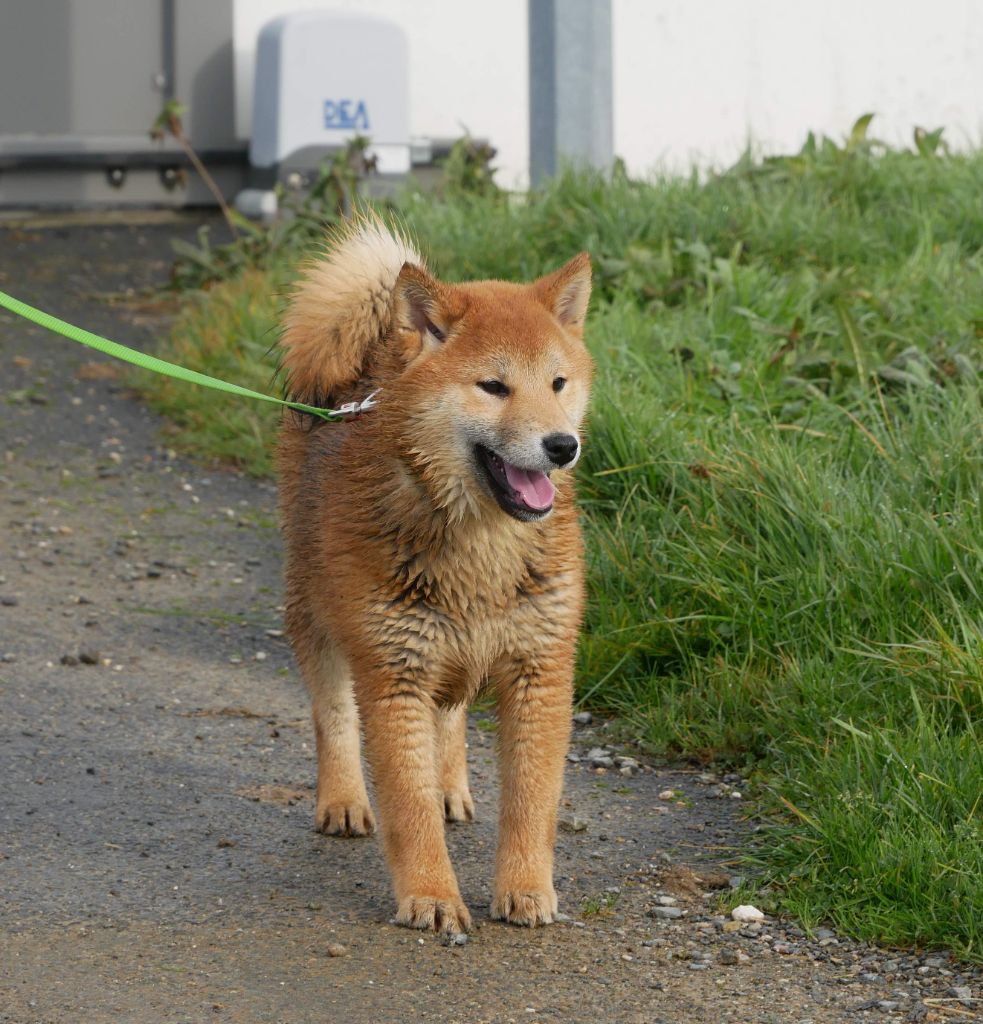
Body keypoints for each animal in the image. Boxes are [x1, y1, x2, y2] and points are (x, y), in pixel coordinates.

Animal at [276, 218, 589, 937]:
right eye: (494, 386)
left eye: (558, 382)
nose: (562, 446)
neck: (481, 546)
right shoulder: (393, 675)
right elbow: (407, 806)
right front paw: (431, 895)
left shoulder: (538, 672)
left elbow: (531, 801)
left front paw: (525, 888)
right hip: (317, 613)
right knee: (333, 715)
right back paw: (342, 799)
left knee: (450, 715)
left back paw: (450, 785)